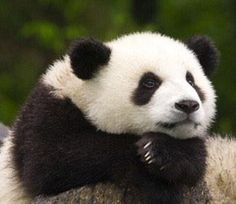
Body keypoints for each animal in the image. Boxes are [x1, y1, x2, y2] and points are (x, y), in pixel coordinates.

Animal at [0, 31, 218, 202]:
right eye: (149, 83)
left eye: (191, 80)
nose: (187, 105)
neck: (81, 97)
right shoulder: (45, 114)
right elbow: (51, 161)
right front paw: (153, 161)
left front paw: (170, 155)